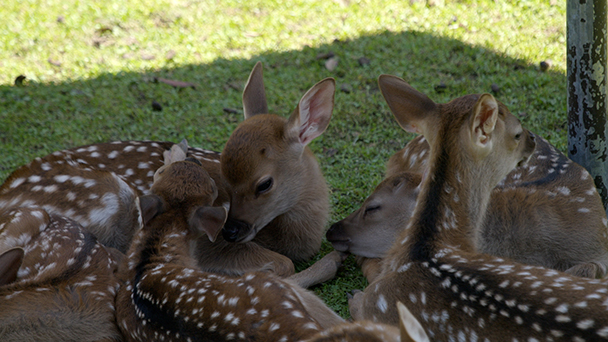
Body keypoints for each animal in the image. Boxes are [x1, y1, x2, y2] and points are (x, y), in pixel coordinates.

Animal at [0, 61, 334, 280]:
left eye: (264, 184)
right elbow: (282, 264)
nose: (230, 230)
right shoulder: (209, 244)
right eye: (224, 181)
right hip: (108, 195)